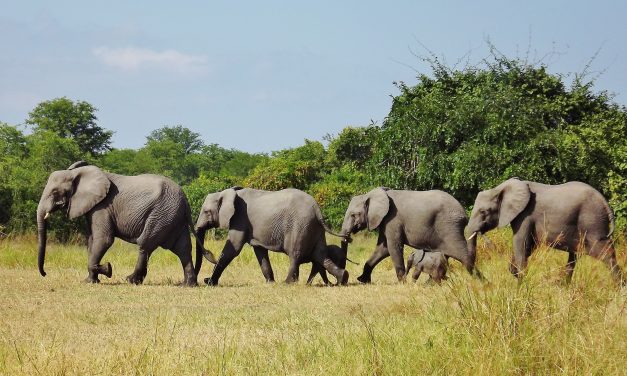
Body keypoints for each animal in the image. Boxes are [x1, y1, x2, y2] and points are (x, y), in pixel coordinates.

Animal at [36, 160, 211, 286]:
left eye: (55, 192)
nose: (45, 274)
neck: (79, 175)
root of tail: (185, 200)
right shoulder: (94, 207)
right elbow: (92, 241)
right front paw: (90, 281)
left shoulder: (103, 206)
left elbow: (104, 240)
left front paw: (107, 269)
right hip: (173, 217)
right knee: (183, 248)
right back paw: (187, 285)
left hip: (162, 214)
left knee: (145, 244)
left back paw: (131, 280)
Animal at [195, 187, 348, 286]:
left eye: (206, 212)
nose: (202, 280)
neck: (227, 192)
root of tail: (317, 209)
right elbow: (260, 251)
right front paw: (270, 282)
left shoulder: (239, 219)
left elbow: (233, 248)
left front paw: (210, 282)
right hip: (314, 228)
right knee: (321, 255)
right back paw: (342, 279)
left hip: (299, 225)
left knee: (295, 254)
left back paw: (287, 283)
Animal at [340, 187, 478, 284]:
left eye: (353, 215)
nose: (349, 237)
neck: (372, 194)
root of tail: (464, 213)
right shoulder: (385, 221)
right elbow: (383, 249)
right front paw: (362, 280)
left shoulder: (393, 220)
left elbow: (393, 247)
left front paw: (403, 283)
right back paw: (430, 283)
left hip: (450, 227)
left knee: (463, 255)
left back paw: (478, 281)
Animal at [466, 178, 624, 284]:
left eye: (483, 212)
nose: (488, 284)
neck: (501, 188)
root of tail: (605, 202)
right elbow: (528, 247)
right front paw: (516, 273)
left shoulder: (525, 215)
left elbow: (520, 243)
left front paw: (521, 287)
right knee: (574, 257)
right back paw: (564, 286)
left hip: (592, 221)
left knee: (605, 252)